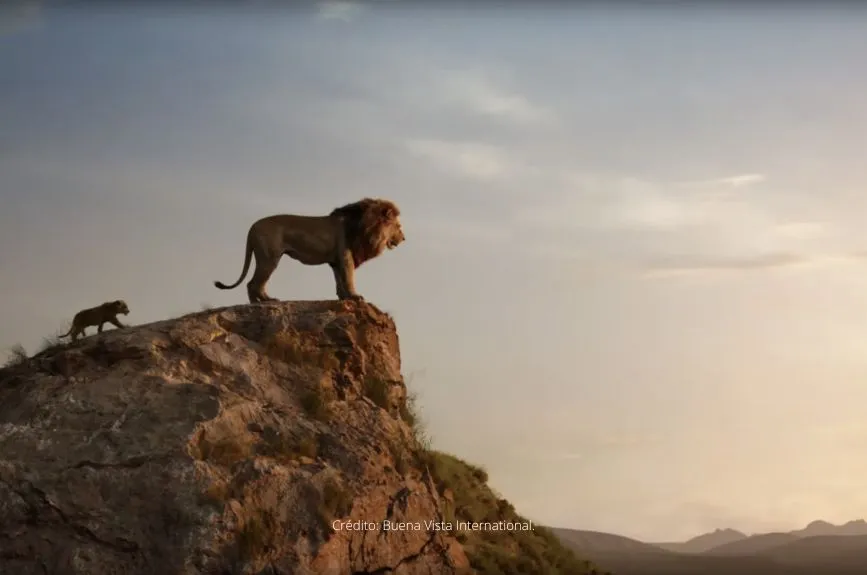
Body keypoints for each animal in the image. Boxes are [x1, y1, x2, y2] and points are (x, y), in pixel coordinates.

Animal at [214, 198, 405, 303]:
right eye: (398, 226)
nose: (404, 238)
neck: (366, 227)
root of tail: (252, 227)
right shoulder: (346, 256)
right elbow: (349, 278)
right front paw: (354, 297)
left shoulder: (336, 260)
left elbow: (339, 281)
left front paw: (343, 297)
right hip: (270, 258)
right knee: (254, 283)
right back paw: (263, 302)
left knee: (252, 284)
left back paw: (260, 303)